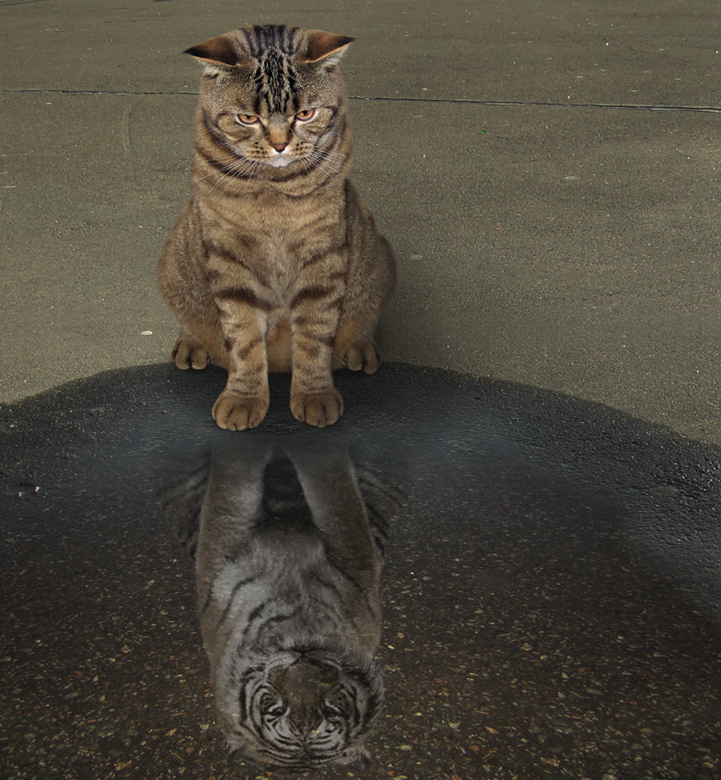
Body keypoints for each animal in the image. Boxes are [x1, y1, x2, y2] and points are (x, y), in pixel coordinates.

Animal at [158, 25, 396, 432]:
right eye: (247, 118)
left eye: (305, 113)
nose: (280, 144)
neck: (273, 192)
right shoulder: (230, 260)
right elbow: (243, 339)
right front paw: (244, 398)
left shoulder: (322, 255)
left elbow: (315, 338)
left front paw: (314, 395)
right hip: (173, 264)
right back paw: (192, 344)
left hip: (378, 261)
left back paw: (360, 348)